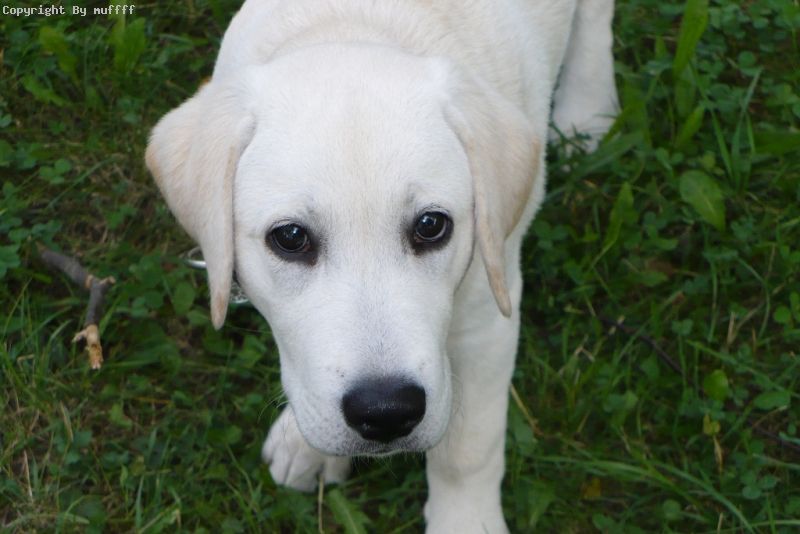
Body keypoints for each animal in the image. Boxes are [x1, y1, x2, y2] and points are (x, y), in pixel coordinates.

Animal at [145, 0, 618, 531]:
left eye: (431, 226)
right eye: (290, 238)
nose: (387, 411)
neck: (354, 20)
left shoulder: (486, 310)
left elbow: (468, 446)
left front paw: (464, 519)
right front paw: (306, 442)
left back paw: (588, 107)